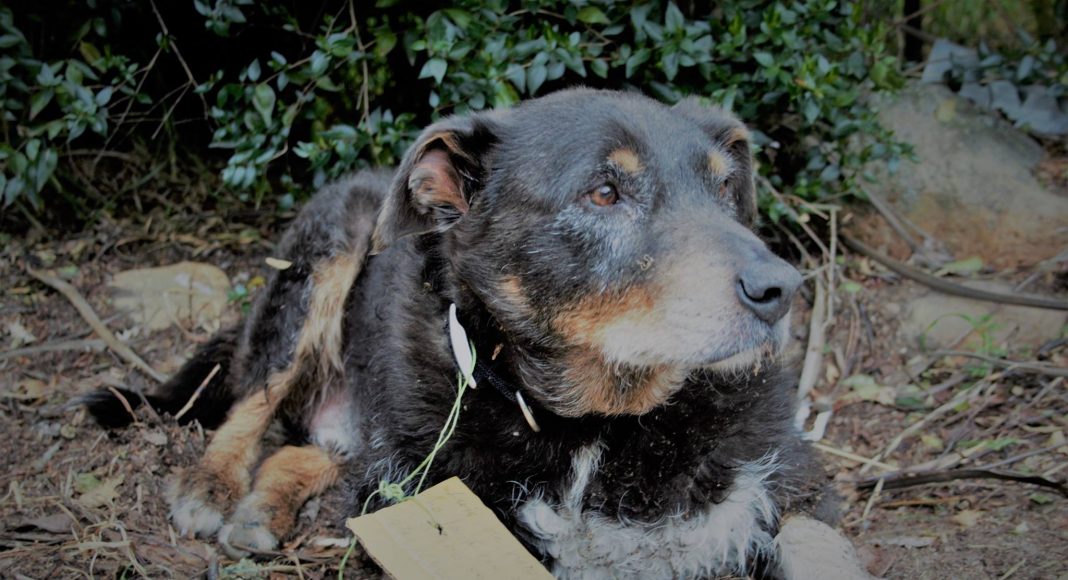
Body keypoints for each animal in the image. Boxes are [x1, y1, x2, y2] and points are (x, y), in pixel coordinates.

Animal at [85, 88, 875, 576]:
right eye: (604, 193)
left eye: (724, 188)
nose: (781, 289)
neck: (595, 427)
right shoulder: (429, 510)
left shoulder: (798, 492)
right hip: (324, 258)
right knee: (251, 402)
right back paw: (214, 486)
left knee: (312, 450)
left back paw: (263, 504)